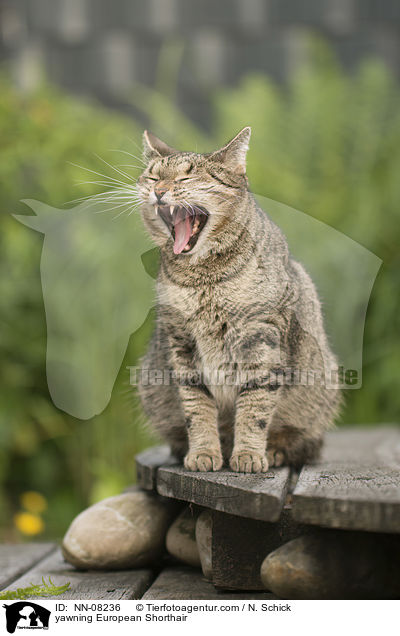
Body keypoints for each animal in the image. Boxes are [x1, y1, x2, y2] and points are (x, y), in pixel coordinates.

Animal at [137, 125, 340, 472]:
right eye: (152, 177)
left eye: (186, 177)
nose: (159, 191)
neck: (202, 278)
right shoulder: (181, 344)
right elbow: (197, 407)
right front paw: (204, 452)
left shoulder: (262, 339)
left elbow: (255, 406)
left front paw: (248, 454)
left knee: (304, 442)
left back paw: (274, 451)